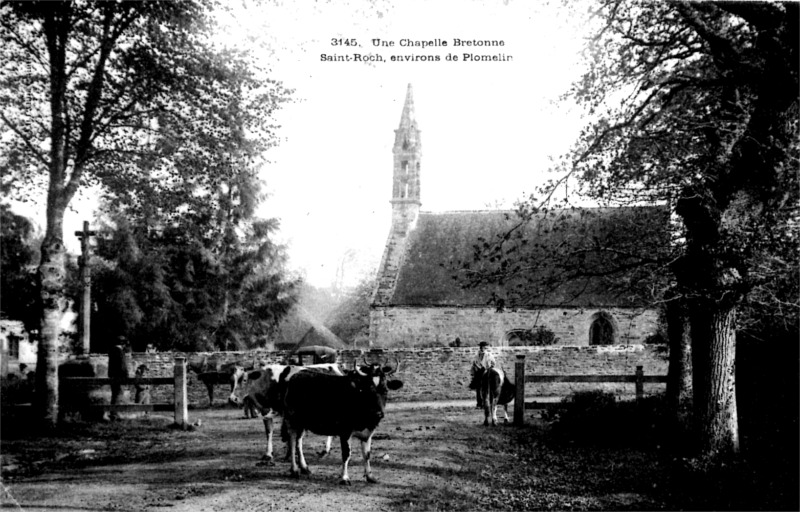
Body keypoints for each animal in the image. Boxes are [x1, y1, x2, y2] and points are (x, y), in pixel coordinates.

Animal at [282, 356, 406, 484]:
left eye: (385, 390)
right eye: (368, 390)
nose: (378, 413)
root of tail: (296, 375)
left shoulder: (368, 433)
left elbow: (367, 454)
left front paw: (370, 476)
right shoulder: (345, 431)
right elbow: (346, 454)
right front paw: (345, 477)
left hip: (302, 423)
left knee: (299, 441)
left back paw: (304, 468)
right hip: (291, 419)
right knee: (292, 441)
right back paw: (294, 470)